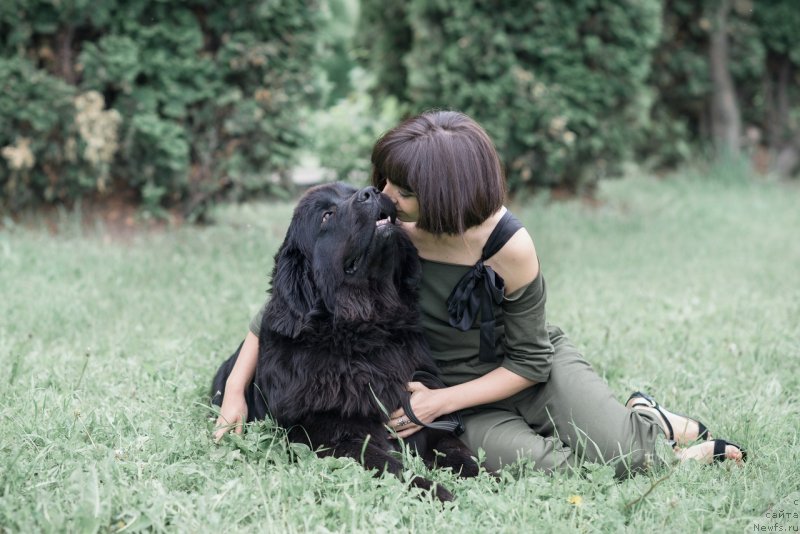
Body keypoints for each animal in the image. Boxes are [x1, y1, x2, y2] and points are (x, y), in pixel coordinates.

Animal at [209, 183, 478, 502]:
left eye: (351, 189)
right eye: (326, 215)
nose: (371, 192)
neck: (364, 336)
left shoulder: (424, 415)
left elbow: (461, 453)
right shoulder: (332, 435)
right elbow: (391, 467)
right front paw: (435, 491)